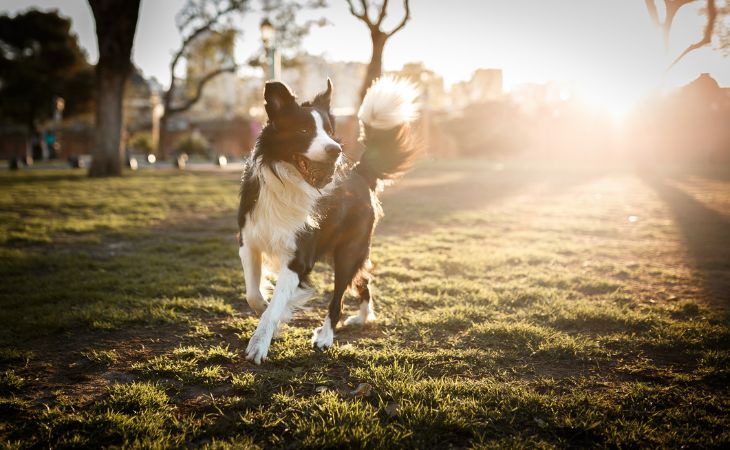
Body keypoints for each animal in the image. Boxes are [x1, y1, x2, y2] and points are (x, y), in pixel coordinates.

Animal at [239, 76, 418, 362]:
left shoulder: (299, 259)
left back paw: (325, 337)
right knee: (364, 281)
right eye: (303, 130)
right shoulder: (249, 242)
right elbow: (254, 295)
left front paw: (260, 342)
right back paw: (363, 317)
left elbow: (275, 303)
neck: (288, 183)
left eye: (330, 130)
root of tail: (359, 172)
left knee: (338, 299)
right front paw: (272, 317)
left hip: (349, 250)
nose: (336, 149)